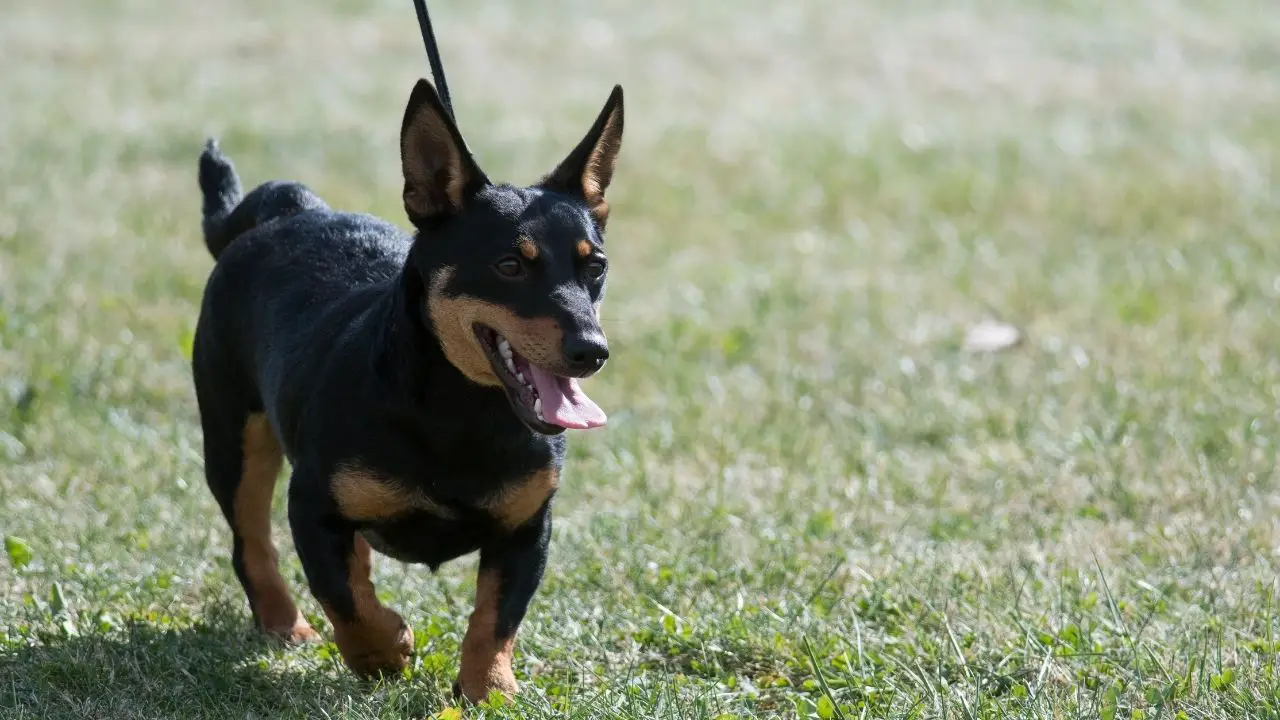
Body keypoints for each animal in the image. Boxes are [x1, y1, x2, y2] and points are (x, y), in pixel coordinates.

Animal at [190, 79, 624, 702]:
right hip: (234, 440)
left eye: (596, 267)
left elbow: (496, 617)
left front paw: (488, 688)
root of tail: (290, 208)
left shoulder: (527, 529)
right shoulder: (311, 505)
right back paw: (285, 625)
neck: (461, 412)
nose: (591, 350)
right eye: (509, 265)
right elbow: (344, 600)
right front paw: (385, 651)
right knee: (252, 544)